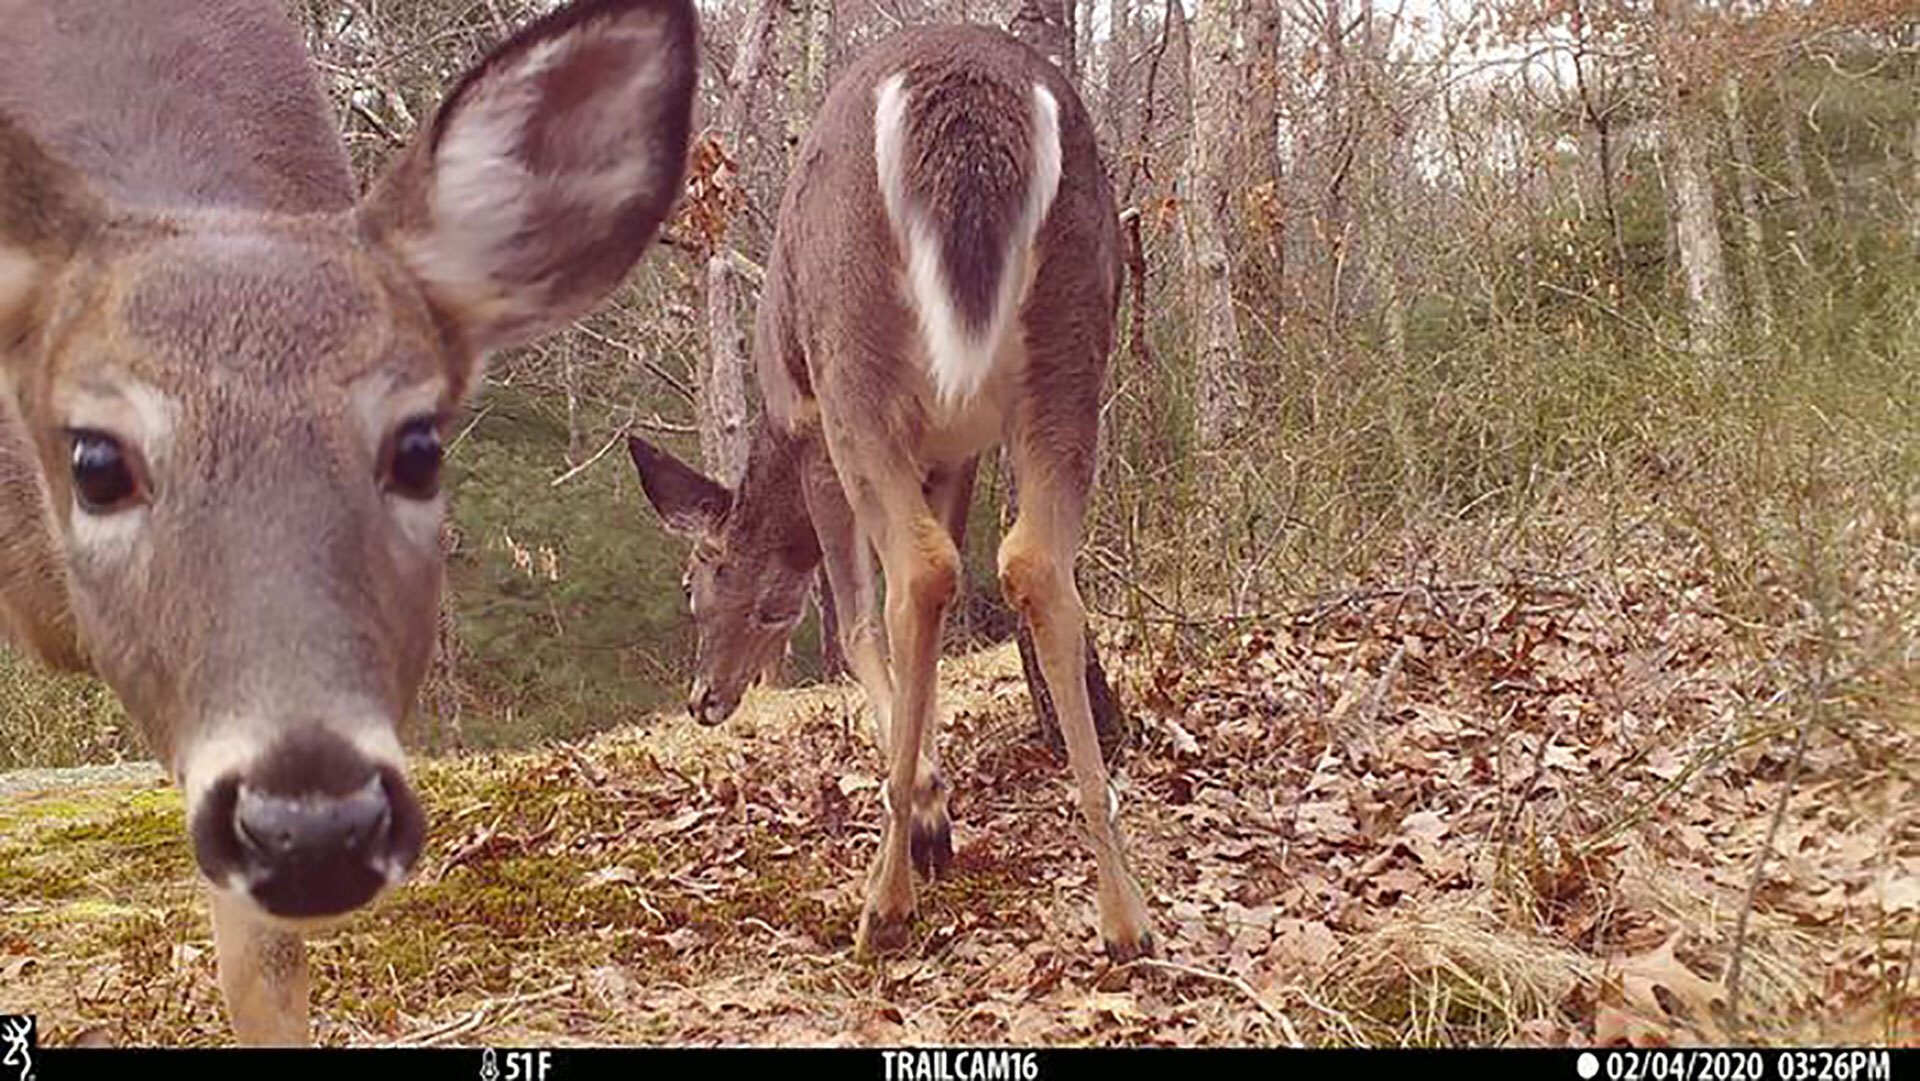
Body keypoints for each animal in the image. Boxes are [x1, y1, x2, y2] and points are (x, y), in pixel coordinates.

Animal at [629, 23, 1157, 963]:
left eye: (694, 585)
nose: (702, 699)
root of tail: (973, 100)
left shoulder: (812, 432)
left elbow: (855, 619)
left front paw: (928, 814)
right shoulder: (954, 451)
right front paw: (936, 802)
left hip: (854, 356)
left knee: (917, 572)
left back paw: (885, 900)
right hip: (1074, 334)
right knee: (1033, 563)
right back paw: (1125, 912)